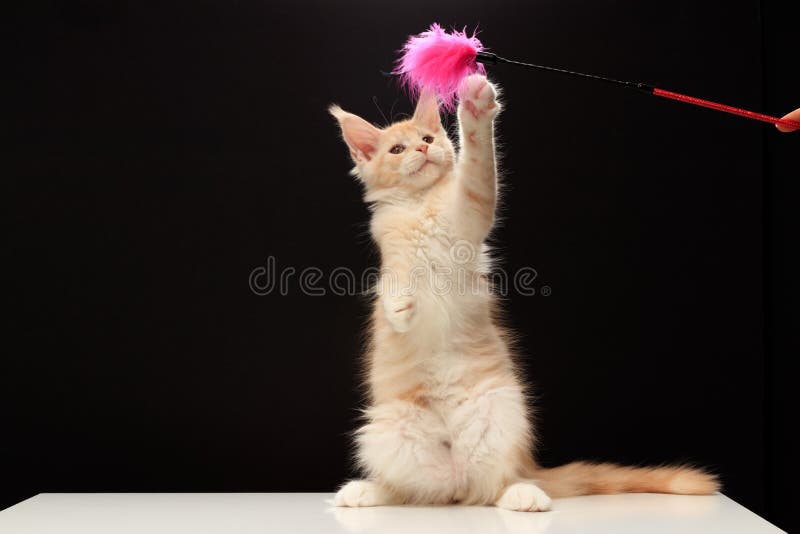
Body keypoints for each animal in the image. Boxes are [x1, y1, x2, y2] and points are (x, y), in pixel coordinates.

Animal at [328, 76, 716, 516]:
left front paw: (475, 108)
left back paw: (523, 496)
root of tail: (454, 470)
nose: (424, 150)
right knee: (418, 491)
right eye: (397, 149)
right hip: (386, 431)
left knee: (491, 486)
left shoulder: (472, 212)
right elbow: (390, 286)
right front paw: (399, 307)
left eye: (427, 138)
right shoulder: (389, 254)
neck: (421, 205)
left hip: (503, 412)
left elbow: (478, 166)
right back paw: (364, 491)